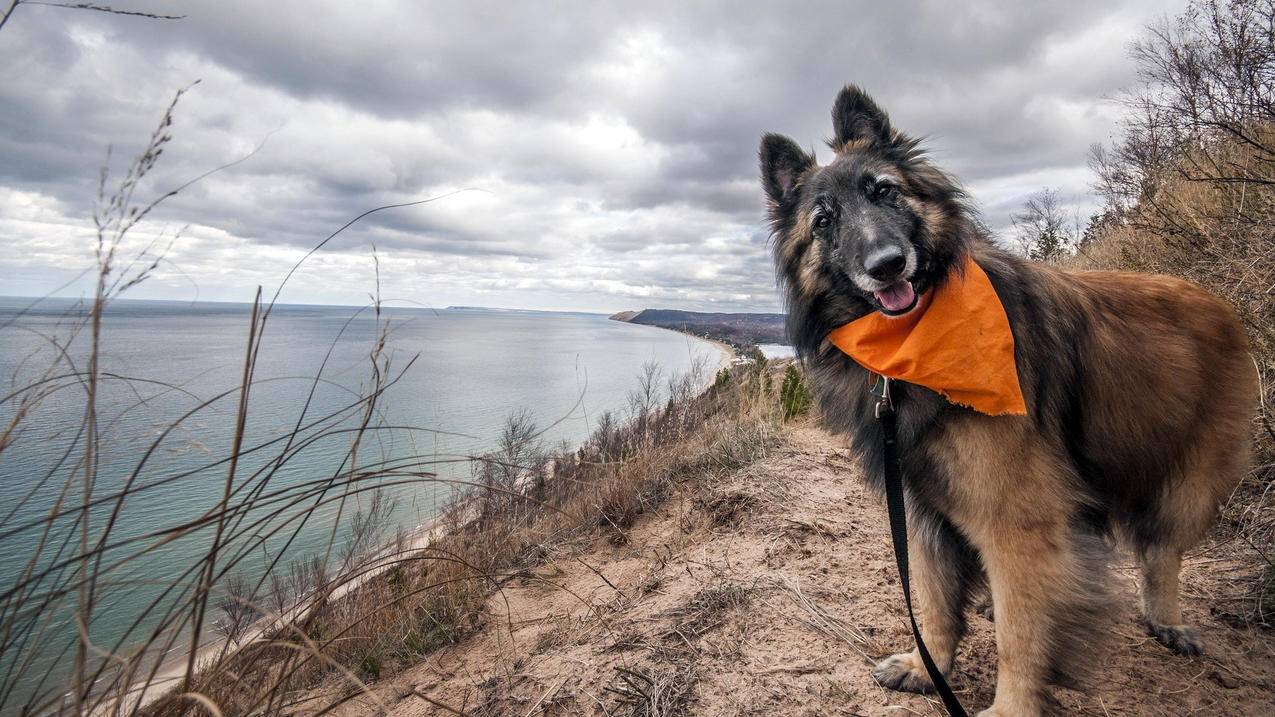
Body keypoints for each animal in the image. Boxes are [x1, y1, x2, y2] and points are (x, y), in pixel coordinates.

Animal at [754, 86, 1254, 709]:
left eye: (884, 191)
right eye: (825, 221)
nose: (887, 265)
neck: (914, 346)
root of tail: (1220, 304)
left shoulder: (1017, 519)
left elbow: (1021, 635)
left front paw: (1010, 707)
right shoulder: (921, 509)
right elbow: (933, 600)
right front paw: (926, 666)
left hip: (1188, 480)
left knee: (1161, 551)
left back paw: (1167, 620)